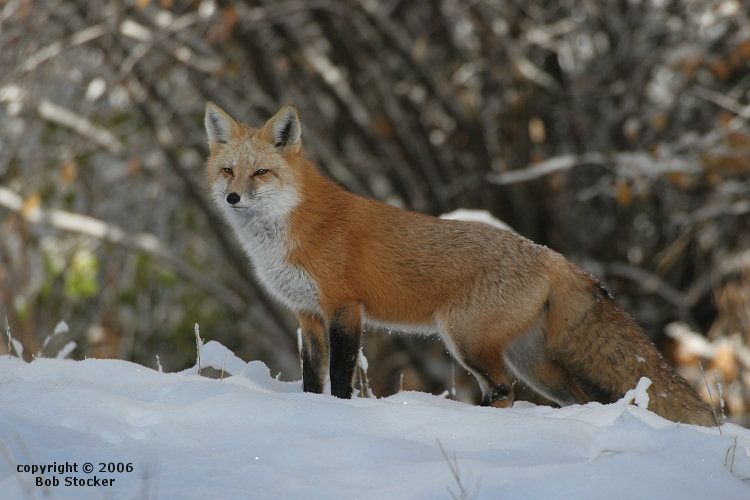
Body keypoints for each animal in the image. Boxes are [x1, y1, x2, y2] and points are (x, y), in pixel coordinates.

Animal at [203, 101, 716, 427]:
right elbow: (312, 379)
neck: (290, 229)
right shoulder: (307, 314)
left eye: (261, 172)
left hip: (466, 340)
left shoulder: (344, 308)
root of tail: (550, 254)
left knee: (503, 392)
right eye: (228, 170)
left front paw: (342, 415)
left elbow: (342, 379)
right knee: (575, 398)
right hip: (530, 361)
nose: (232, 198)